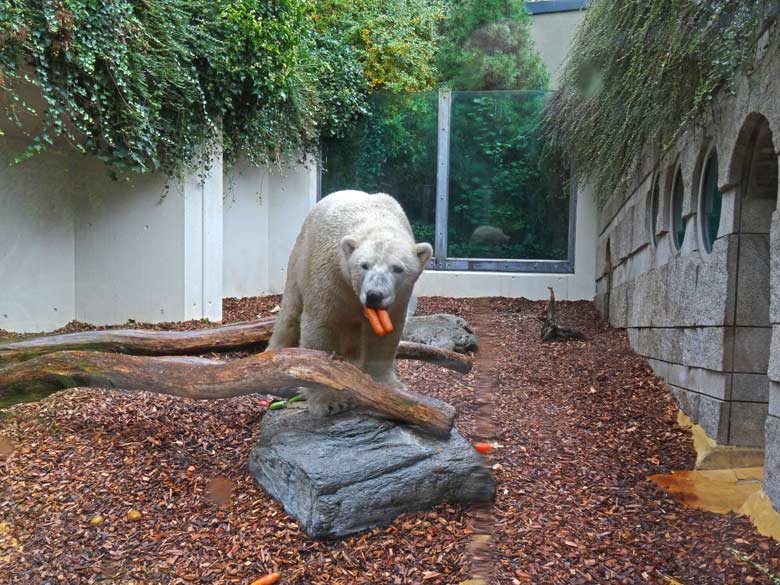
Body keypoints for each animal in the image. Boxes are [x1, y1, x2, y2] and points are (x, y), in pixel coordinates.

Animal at [270, 189, 436, 412]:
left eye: (398, 268)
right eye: (364, 265)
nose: (374, 295)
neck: (376, 219)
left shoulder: (399, 298)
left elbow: (386, 335)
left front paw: (389, 385)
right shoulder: (331, 276)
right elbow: (321, 326)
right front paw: (329, 401)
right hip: (300, 257)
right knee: (291, 310)